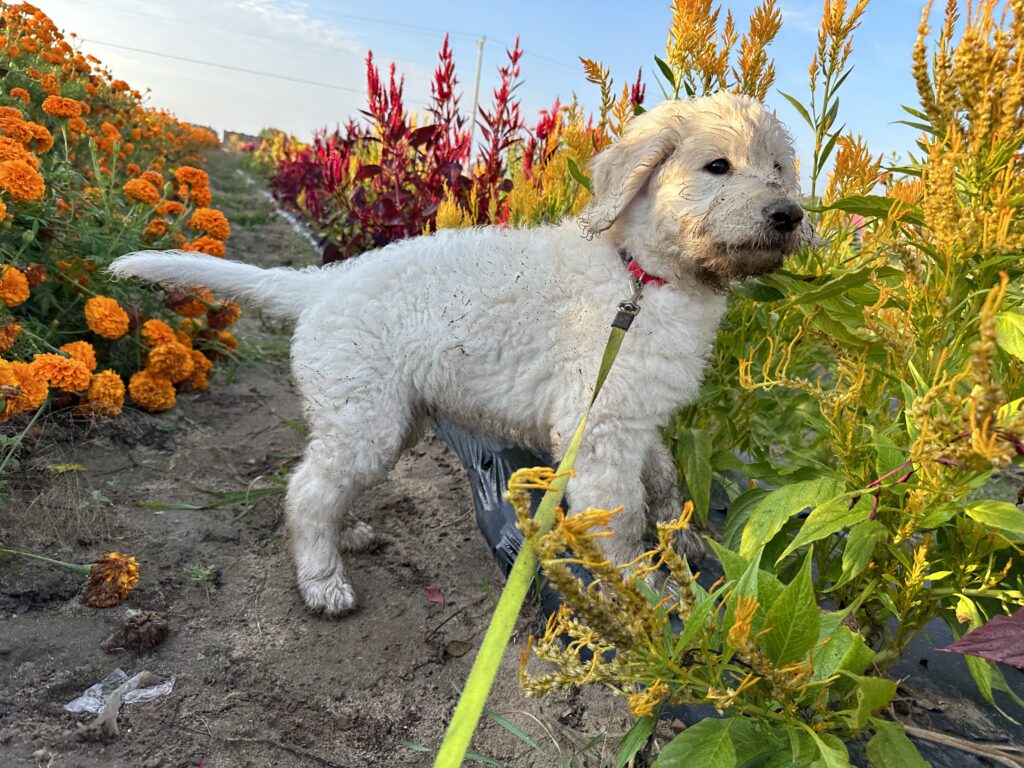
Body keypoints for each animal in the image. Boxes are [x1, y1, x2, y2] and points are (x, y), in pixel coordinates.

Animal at [110, 91, 814, 616]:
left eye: (778, 168)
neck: (641, 273)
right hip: (365, 419)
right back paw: (323, 582)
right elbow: (620, 518)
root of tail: (321, 282)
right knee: (306, 491)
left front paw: (685, 539)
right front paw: (645, 592)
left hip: (385, 419)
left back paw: (349, 534)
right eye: (716, 167)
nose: (788, 214)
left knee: (325, 485)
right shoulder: (600, 426)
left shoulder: (637, 415)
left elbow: (664, 481)